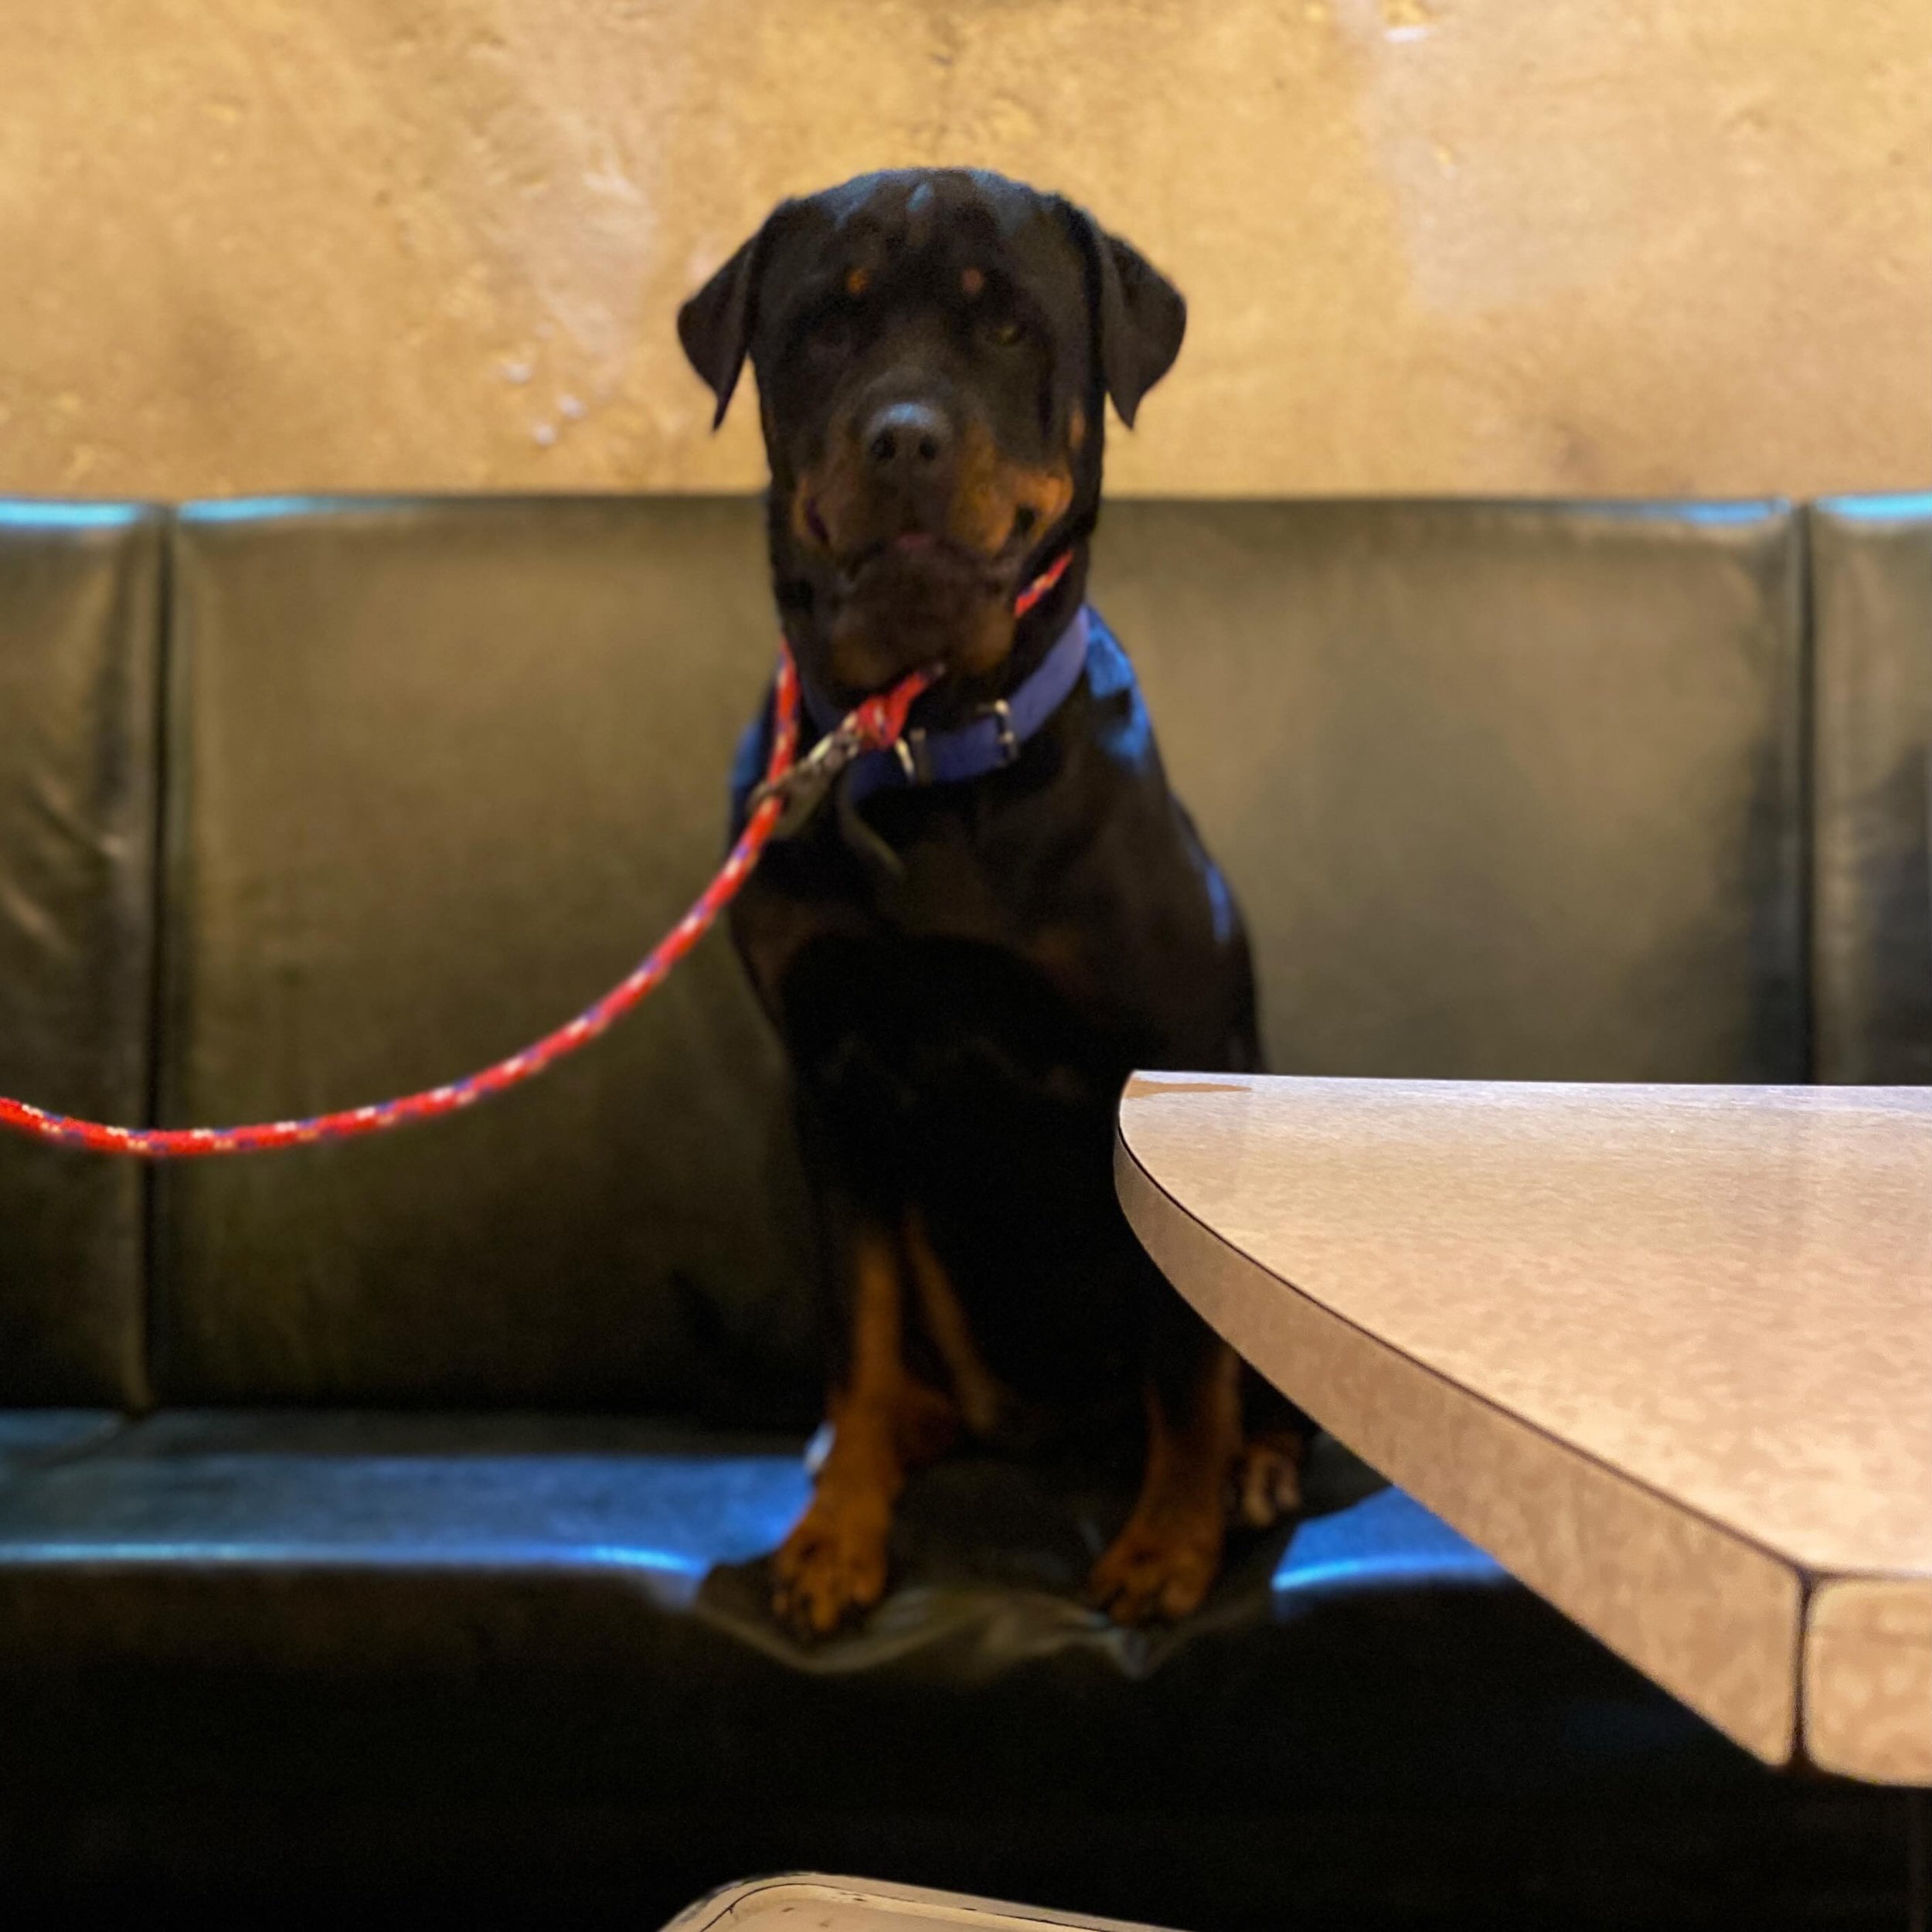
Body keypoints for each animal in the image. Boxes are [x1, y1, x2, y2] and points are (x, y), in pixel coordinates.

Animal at [688, 174, 1306, 1638]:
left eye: (1012, 327)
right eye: (824, 327)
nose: (905, 438)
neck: (928, 752)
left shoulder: (1167, 1065)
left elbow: (1185, 1354)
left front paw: (1168, 1543)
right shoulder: (833, 1083)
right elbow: (856, 1336)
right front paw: (839, 1538)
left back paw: (1252, 1467)